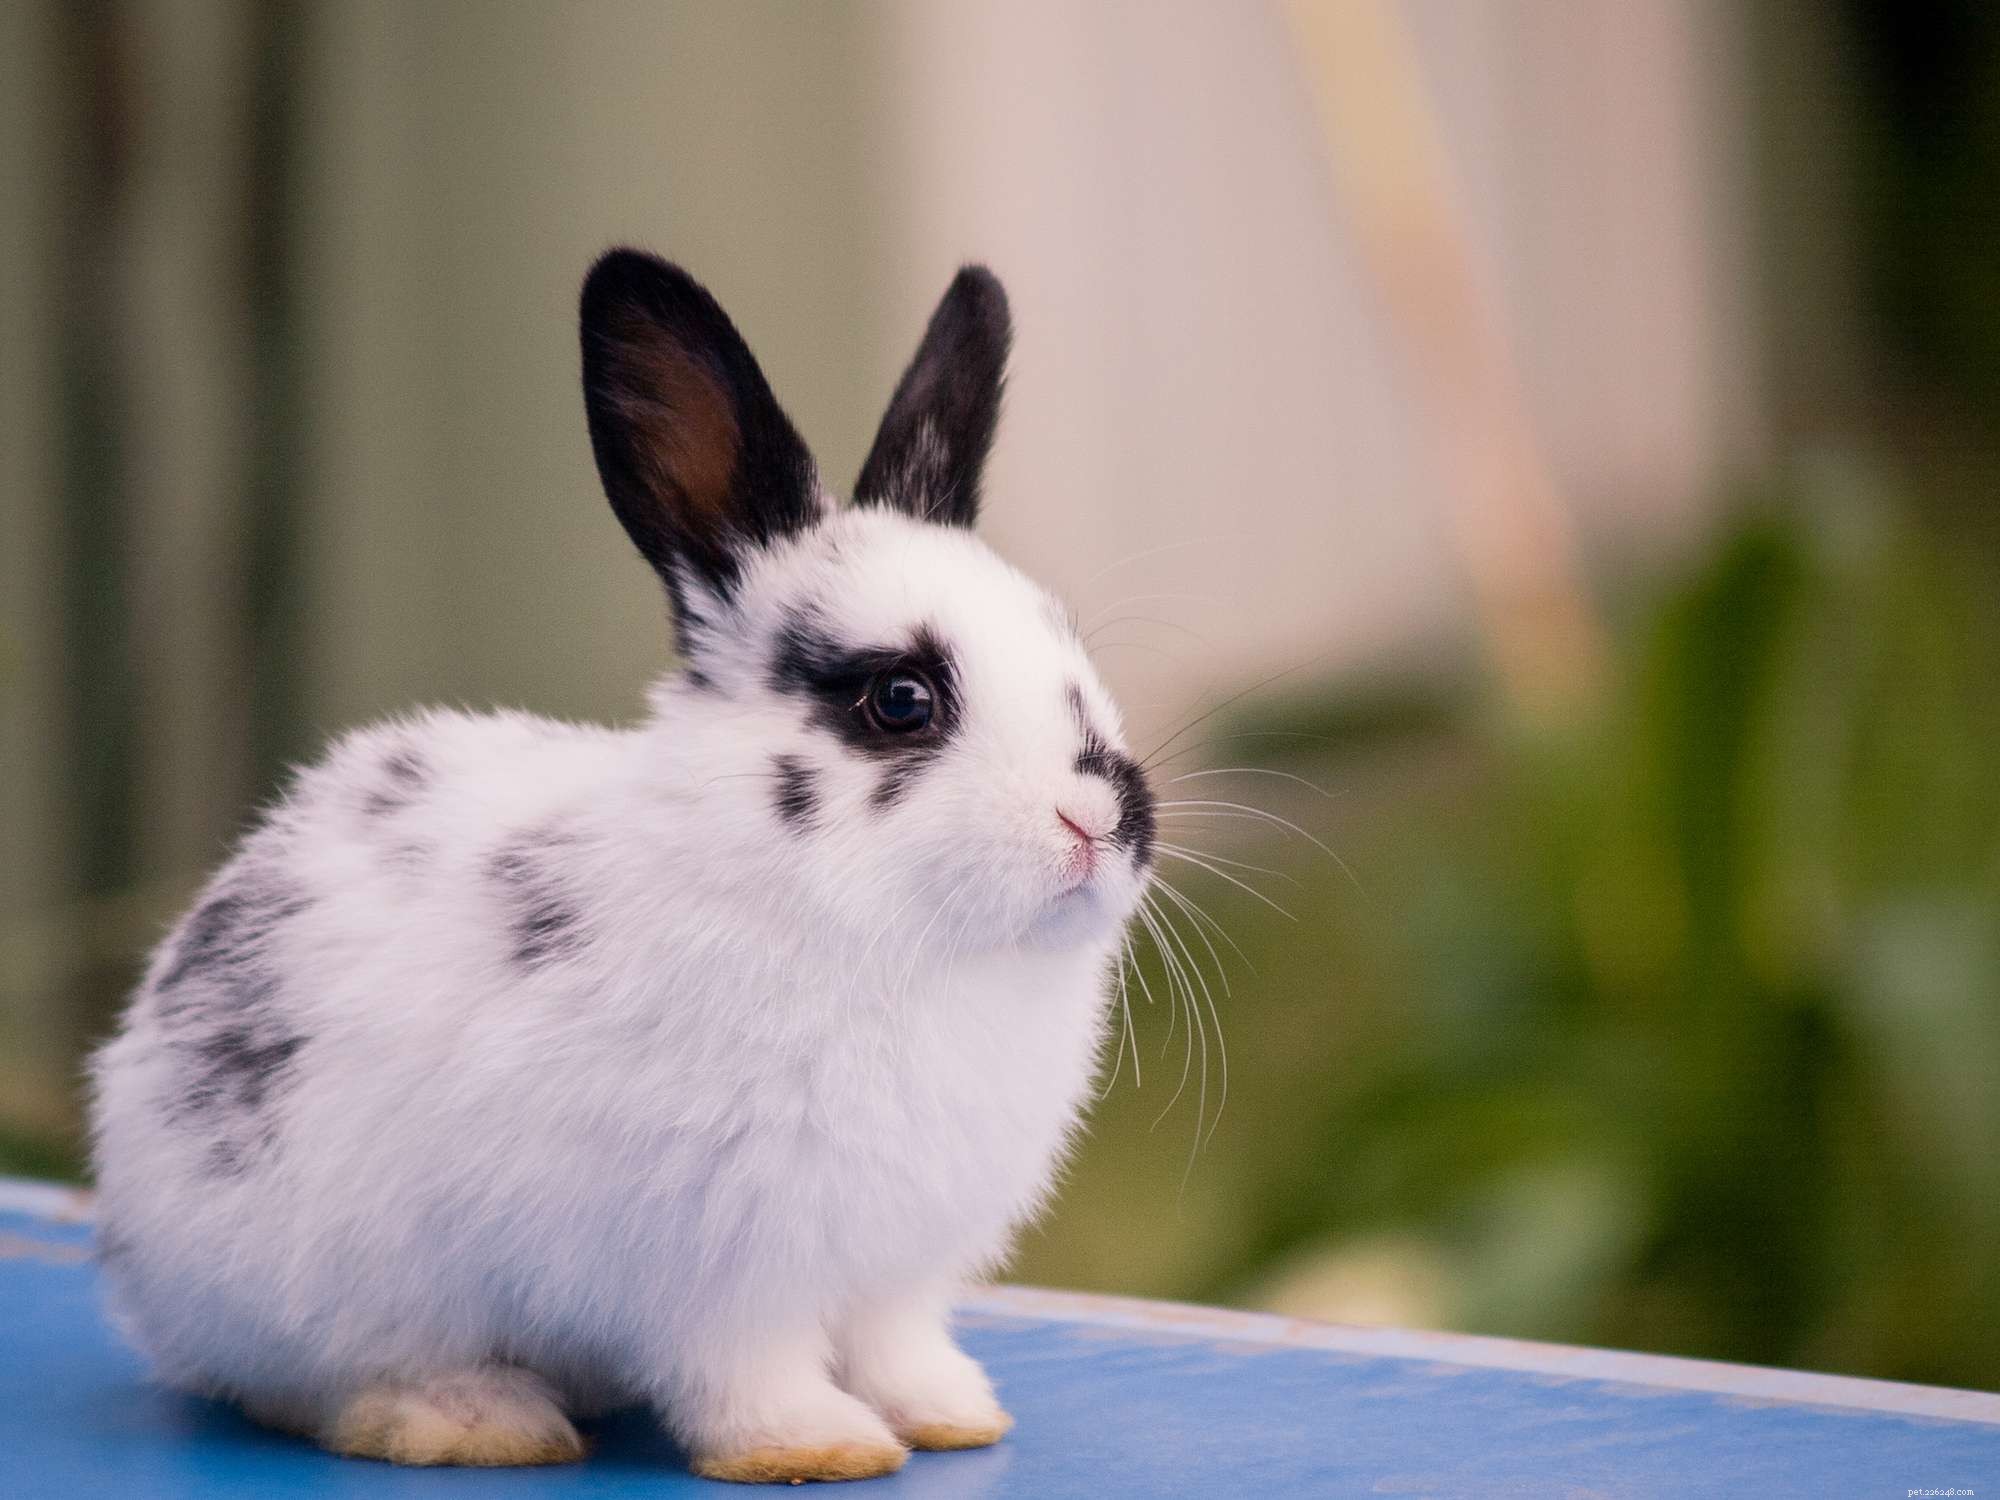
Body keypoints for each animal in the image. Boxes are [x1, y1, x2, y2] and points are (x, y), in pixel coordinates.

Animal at [87, 250, 1158, 1483]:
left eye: (1068, 654)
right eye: (900, 699)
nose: (1106, 818)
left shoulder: (896, 1264)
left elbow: (897, 1344)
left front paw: (948, 1417)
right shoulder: (725, 1262)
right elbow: (751, 1365)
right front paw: (814, 1448)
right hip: (313, 1280)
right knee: (304, 1384)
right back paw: (472, 1419)